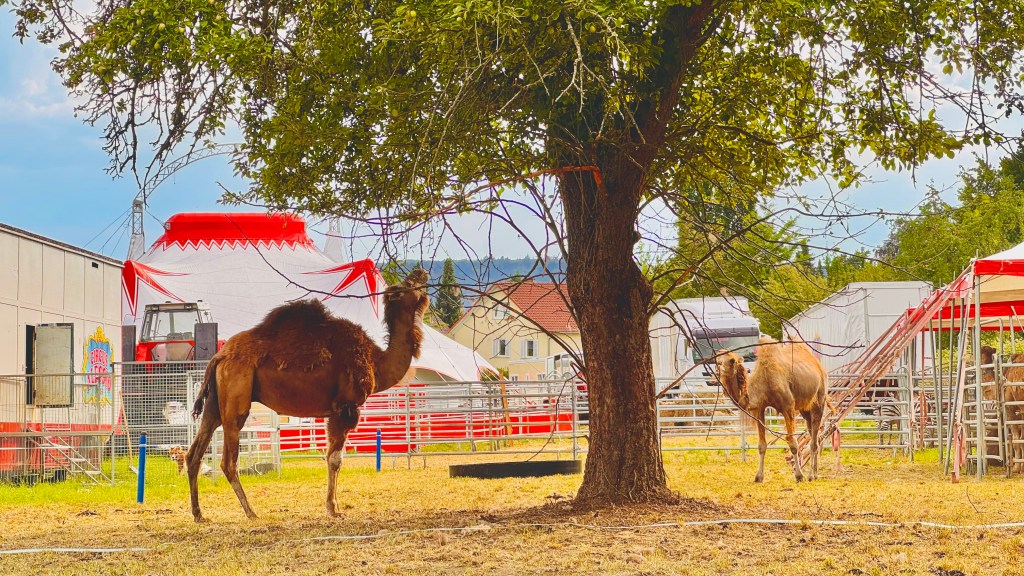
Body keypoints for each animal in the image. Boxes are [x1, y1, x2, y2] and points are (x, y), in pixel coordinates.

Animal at [184, 268, 430, 522]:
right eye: (409, 283)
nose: (421, 272)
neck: (376, 361)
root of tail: (219, 356)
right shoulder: (345, 407)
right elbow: (335, 459)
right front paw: (333, 508)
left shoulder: (334, 411)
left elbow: (333, 457)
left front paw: (333, 505)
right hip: (236, 395)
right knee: (228, 461)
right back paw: (251, 512)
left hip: (215, 403)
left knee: (194, 453)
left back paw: (199, 514)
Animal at [715, 337, 827, 482]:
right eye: (717, 360)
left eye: (731, 360)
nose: (719, 368)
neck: (765, 380)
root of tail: (818, 365)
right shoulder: (760, 409)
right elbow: (761, 445)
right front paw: (759, 477)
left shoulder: (788, 406)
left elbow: (793, 443)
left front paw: (799, 475)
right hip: (805, 408)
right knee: (814, 433)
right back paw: (815, 473)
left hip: (820, 399)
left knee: (814, 439)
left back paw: (810, 476)